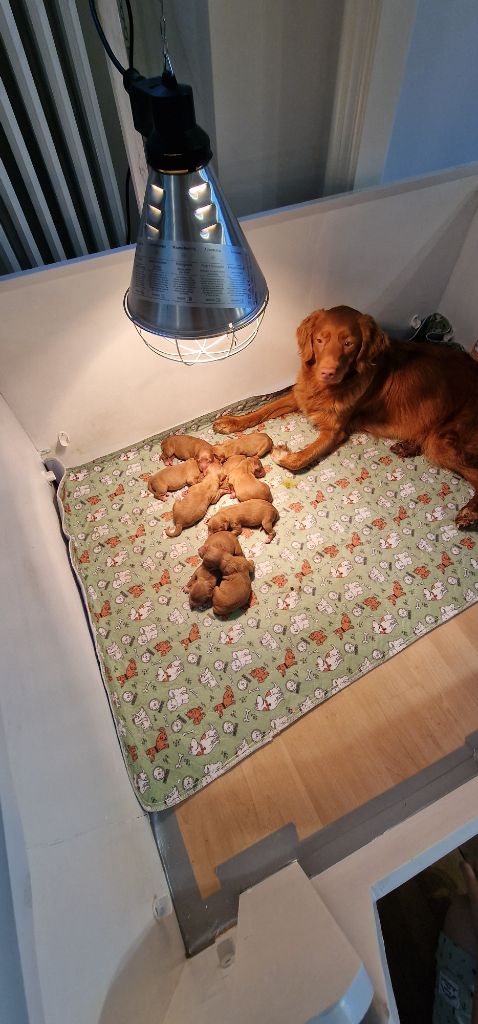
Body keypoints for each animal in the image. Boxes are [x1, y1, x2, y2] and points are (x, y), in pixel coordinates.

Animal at [214, 303, 478, 528]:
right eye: (320, 339)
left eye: (349, 343)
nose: (327, 372)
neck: (329, 387)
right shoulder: (301, 395)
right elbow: (261, 411)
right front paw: (231, 422)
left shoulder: (336, 430)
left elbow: (301, 459)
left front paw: (283, 454)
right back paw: (408, 446)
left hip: (442, 441)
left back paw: (469, 513)